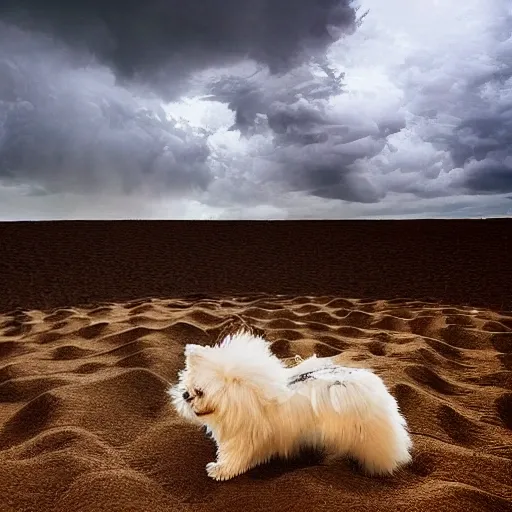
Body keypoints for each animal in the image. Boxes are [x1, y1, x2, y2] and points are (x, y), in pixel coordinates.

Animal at [168, 330, 412, 482]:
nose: (185, 395)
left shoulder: (242, 441)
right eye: (186, 387)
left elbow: (233, 459)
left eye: (199, 391)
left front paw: (219, 470)